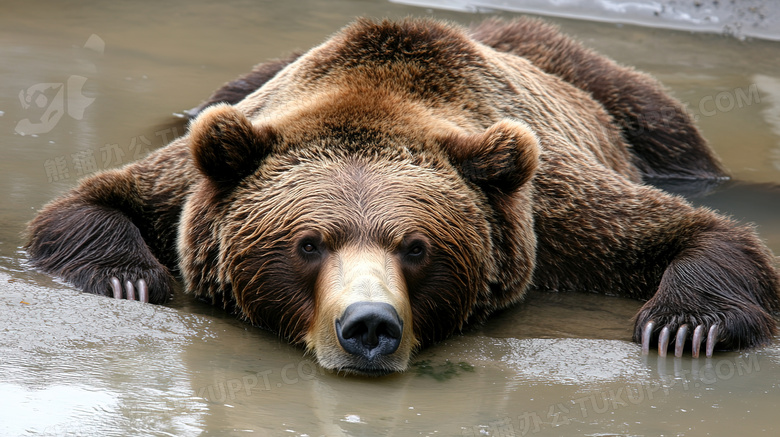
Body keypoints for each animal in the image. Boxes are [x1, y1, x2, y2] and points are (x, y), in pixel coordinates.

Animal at [27, 17, 776, 374]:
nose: (368, 324)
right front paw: (128, 277)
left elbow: (690, 230)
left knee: (674, 139)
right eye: (308, 243)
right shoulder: (202, 175)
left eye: (416, 248)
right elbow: (91, 202)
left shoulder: (553, 212)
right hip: (235, 88)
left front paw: (683, 324)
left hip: (622, 105)